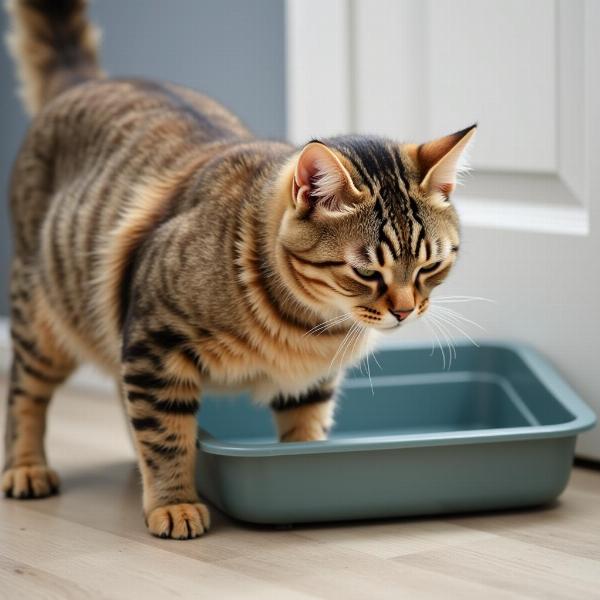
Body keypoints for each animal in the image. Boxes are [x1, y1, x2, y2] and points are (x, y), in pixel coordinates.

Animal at [3, 0, 474, 540]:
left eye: (430, 266)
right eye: (366, 272)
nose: (405, 311)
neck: (311, 327)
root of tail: (87, 81)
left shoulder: (309, 382)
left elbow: (304, 430)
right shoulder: (155, 345)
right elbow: (166, 437)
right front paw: (174, 503)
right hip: (43, 323)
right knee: (23, 393)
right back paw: (26, 468)